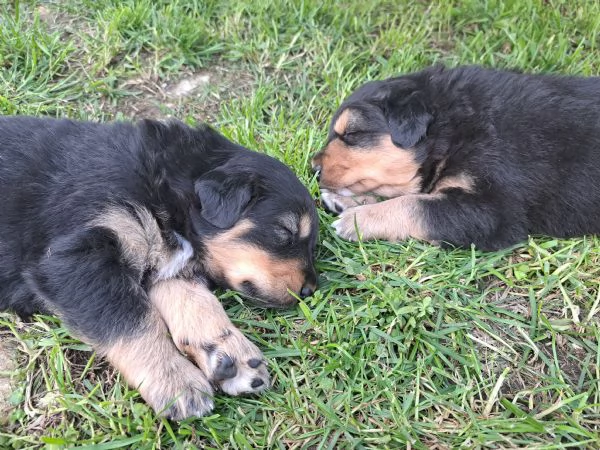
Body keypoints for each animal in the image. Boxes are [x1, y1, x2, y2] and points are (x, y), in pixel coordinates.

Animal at [0, 115, 318, 418]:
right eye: (285, 232)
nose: (310, 290)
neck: (162, 184)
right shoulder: (74, 258)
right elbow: (132, 321)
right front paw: (176, 382)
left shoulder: (168, 267)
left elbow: (198, 303)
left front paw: (230, 356)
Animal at [312, 65, 600, 251]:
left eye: (351, 133)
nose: (313, 170)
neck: (453, 130)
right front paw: (348, 201)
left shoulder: (494, 209)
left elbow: (415, 205)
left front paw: (357, 220)